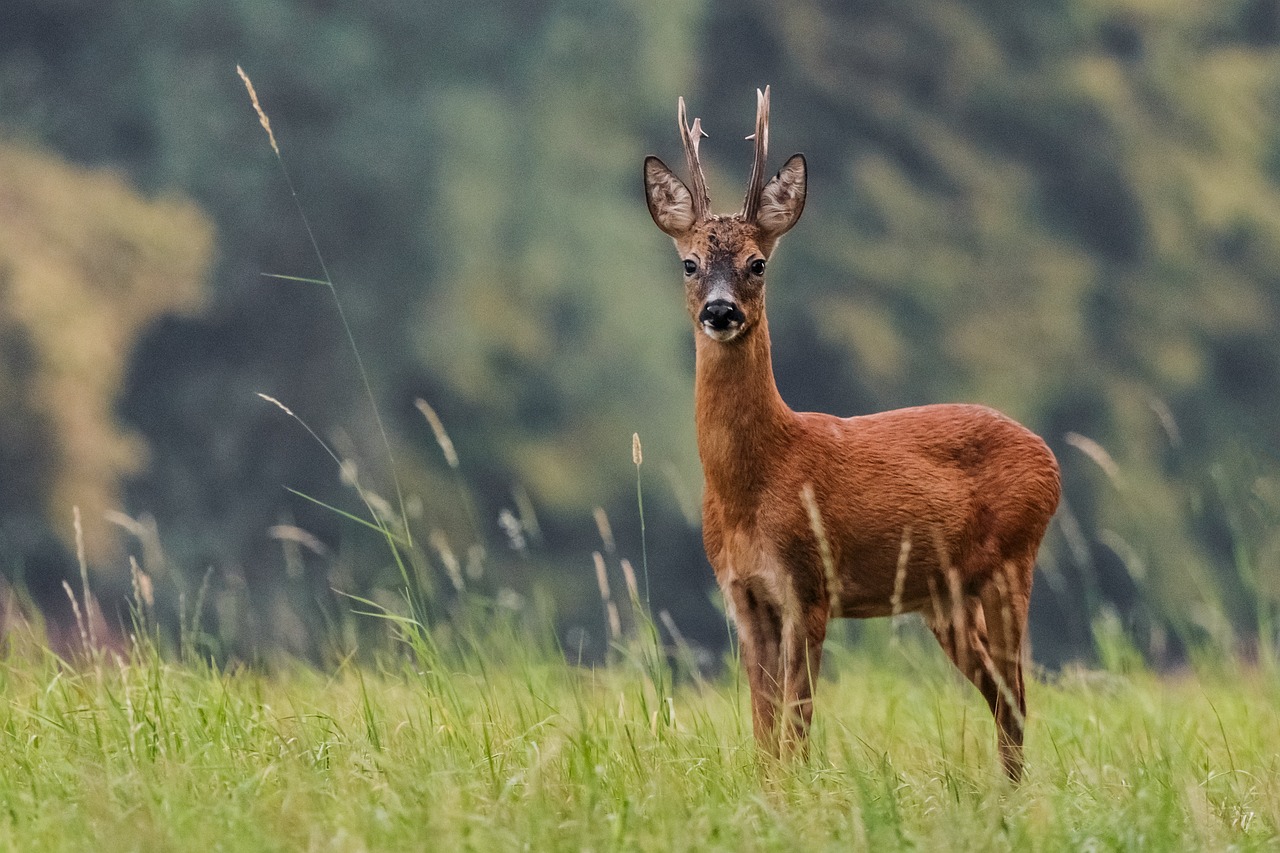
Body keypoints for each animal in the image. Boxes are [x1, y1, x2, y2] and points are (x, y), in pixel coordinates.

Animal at [642, 87, 1061, 781]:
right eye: (690, 263)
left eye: (758, 263)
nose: (721, 312)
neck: (753, 485)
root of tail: (1049, 456)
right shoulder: (743, 595)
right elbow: (763, 730)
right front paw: (767, 793)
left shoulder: (809, 584)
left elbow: (796, 729)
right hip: (944, 597)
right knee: (1004, 696)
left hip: (1012, 559)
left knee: (1019, 699)